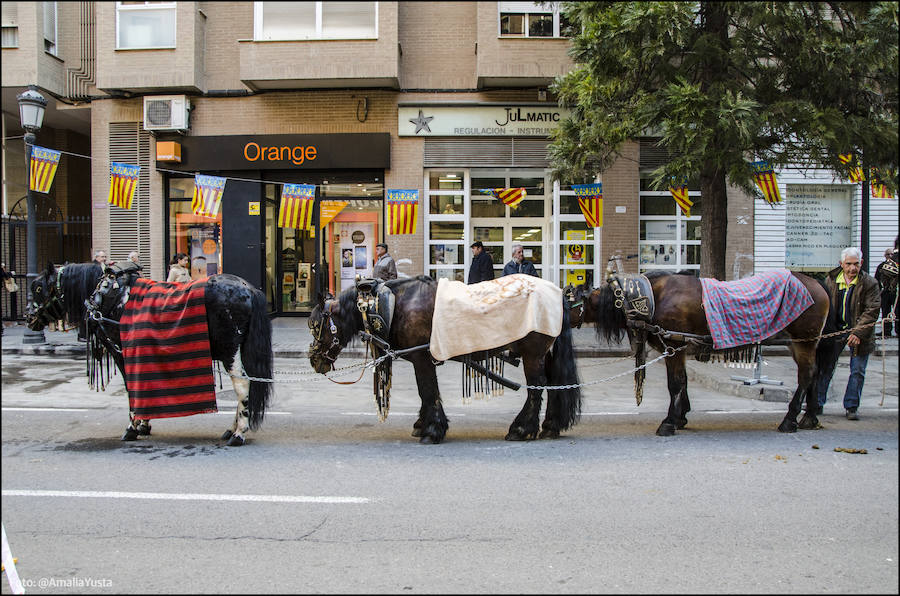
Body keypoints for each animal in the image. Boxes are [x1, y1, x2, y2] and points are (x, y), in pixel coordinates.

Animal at [28, 264, 274, 444]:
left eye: (38, 288)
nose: (29, 317)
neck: (112, 297)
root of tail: (248, 288)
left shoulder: (121, 352)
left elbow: (131, 389)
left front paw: (133, 427)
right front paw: (144, 424)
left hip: (229, 350)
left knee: (242, 385)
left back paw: (239, 433)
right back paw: (231, 429)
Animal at [306, 274, 580, 442]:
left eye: (316, 324)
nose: (313, 359)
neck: (389, 304)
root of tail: (557, 293)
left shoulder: (420, 357)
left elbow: (427, 390)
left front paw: (432, 429)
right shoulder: (422, 358)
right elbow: (427, 392)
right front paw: (423, 424)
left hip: (533, 354)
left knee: (536, 388)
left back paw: (522, 429)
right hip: (544, 354)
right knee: (554, 385)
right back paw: (550, 426)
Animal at [568, 272, 828, 436]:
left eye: (568, 300)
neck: (651, 298)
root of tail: (817, 283)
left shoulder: (673, 346)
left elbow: (674, 384)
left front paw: (669, 422)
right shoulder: (676, 348)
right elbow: (682, 382)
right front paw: (681, 416)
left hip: (805, 340)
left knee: (806, 375)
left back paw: (790, 419)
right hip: (800, 343)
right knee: (815, 373)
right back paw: (809, 417)